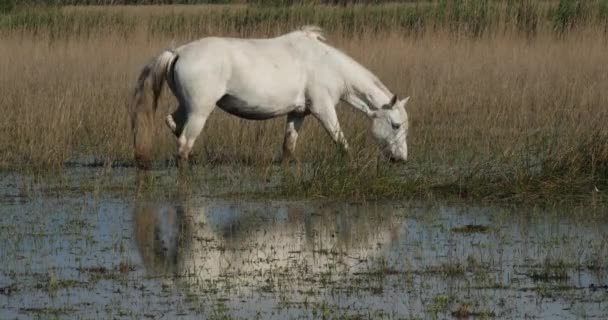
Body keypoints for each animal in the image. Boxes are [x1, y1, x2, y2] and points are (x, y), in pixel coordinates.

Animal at [131, 26, 410, 169]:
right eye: (395, 125)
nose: (401, 159)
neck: (327, 65)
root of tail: (177, 52)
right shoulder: (323, 110)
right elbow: (340, 139)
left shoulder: (298, 113)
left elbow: (288, 147)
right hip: (200, 111)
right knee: (183, 145)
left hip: (186, 107)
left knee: (173, 123)